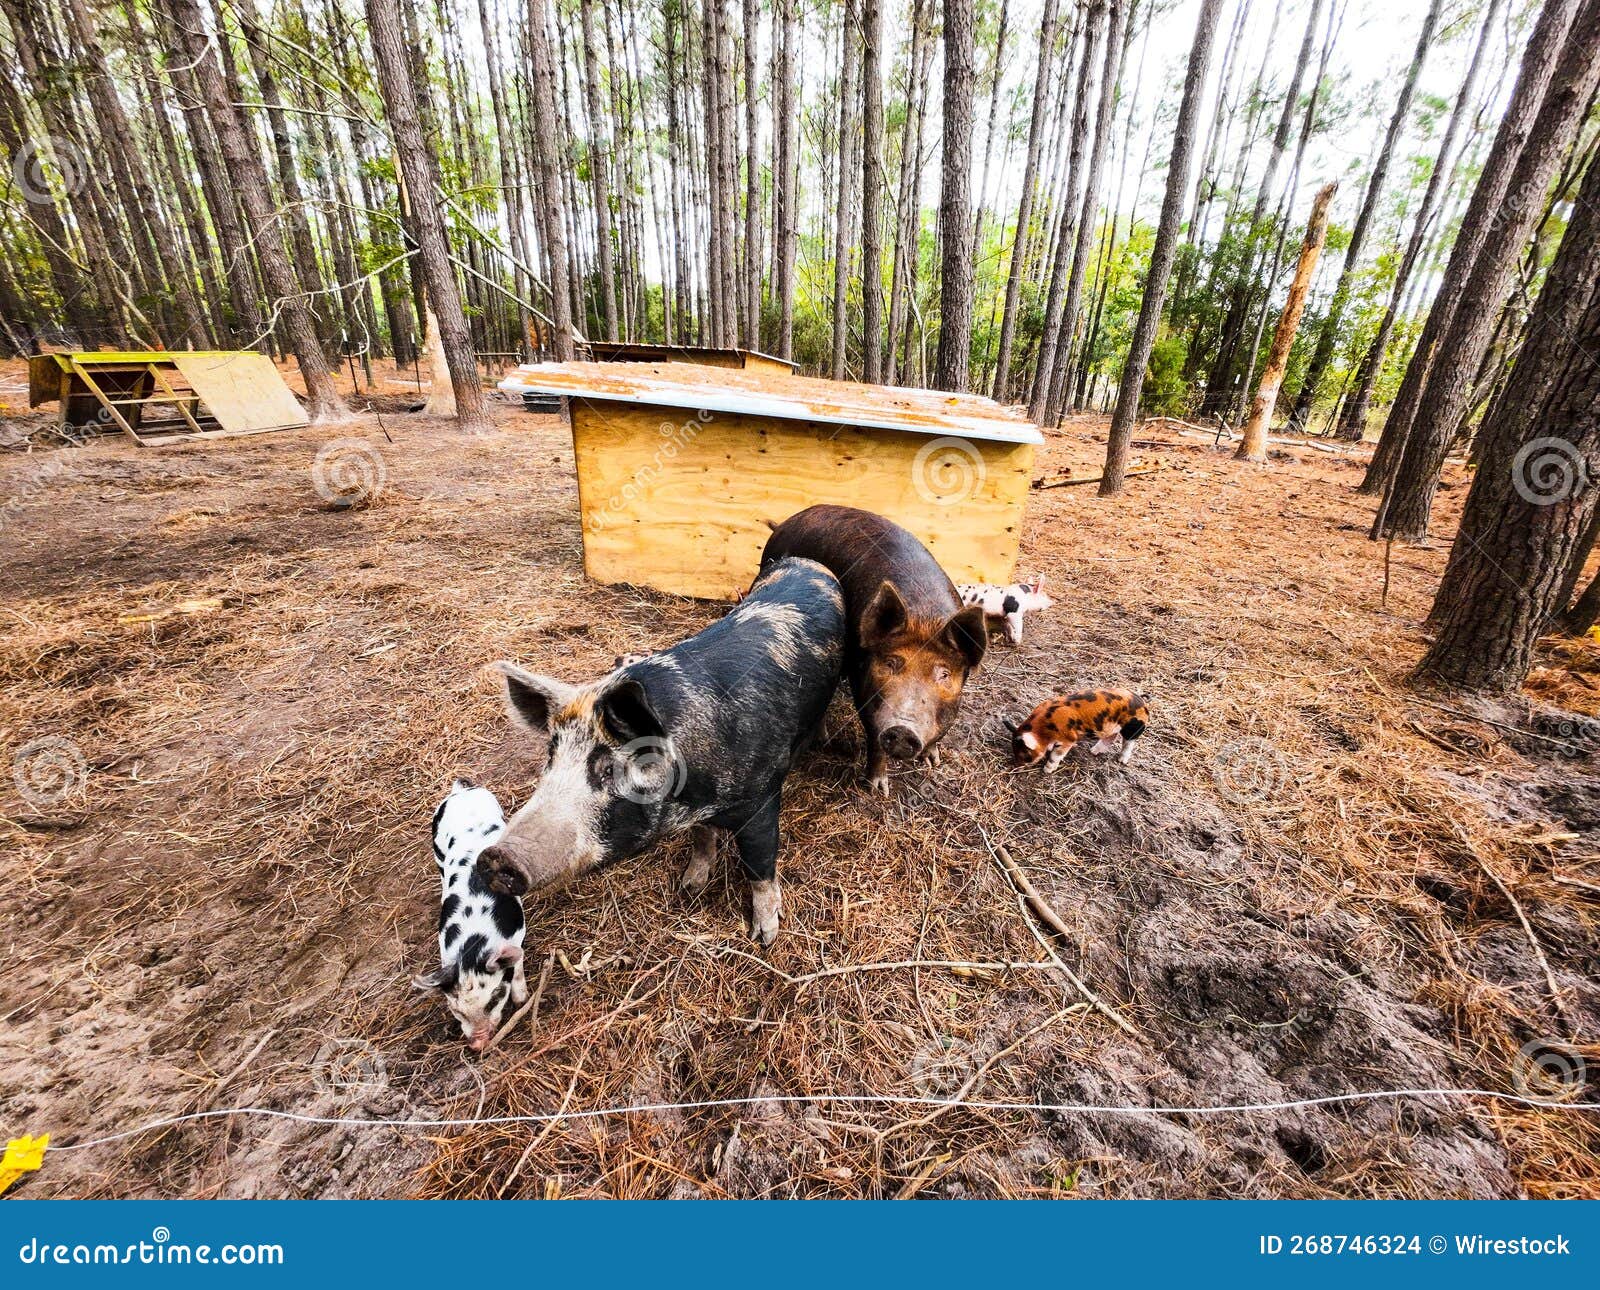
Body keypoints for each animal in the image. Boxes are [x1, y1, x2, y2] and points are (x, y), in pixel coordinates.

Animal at [413, 779, 528, 1050]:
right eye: (456, 1010)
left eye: (494, 999)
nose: (477, 1045)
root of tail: (461, 791)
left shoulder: (518, 932)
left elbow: (517, 964)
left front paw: (521, 1000)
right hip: (437, 848)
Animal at [476, 557, 846, 946]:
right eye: (552, 755)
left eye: (610, 769)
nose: (497, 855)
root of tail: (808, 562)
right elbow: (702, 840)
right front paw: (689, 886)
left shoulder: (761, 798)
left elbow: (759, 866)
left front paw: (765, 937)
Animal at [759, 505, 987, 794]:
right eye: (890, 663)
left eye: (944, 674)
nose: (903, 728)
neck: (924, 617)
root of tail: (783, 524)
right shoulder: (864, 683)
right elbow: (873, 735)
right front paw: (877, 790)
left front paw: (932, 761)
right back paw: (824, 741)